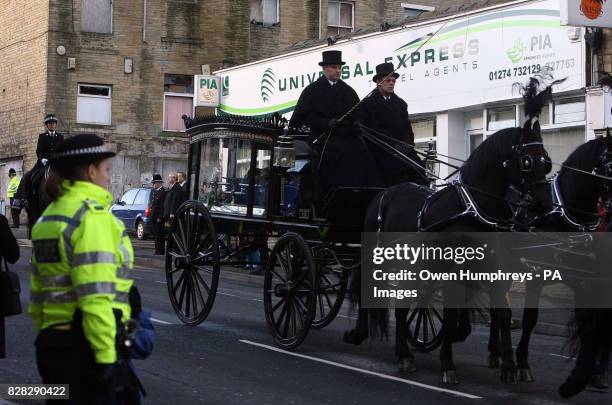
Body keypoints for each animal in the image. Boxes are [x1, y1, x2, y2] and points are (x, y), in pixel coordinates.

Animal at [350, 76, 556, 386]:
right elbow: (449, 317)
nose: (544, 204)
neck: (474, 208)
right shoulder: (452, 273)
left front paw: (508, 365)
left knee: (403, 304)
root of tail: (384, 193)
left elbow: (502, 312)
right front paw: (448, 364)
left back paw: (404, 353)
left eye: (546, 160)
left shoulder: (493, 270)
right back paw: (374, 340)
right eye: (527, 161)